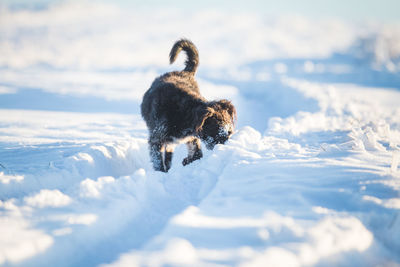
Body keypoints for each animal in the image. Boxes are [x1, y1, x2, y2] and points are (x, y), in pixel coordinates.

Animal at [141, 39, 236, 174]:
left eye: (230, 132)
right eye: (217, 131)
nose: (224, 150)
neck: (184, 111)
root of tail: (184, 73)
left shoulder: (191, 137)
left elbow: (197, 154)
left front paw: (187, 161)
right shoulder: (156, 139)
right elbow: (158, 162)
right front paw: (161, 173)